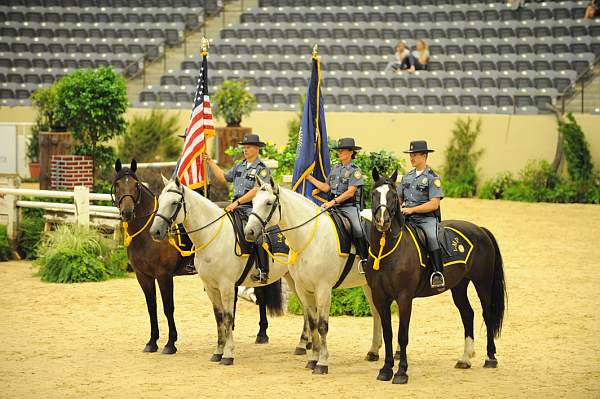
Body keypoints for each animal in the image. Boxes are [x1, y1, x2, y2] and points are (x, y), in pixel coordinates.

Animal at [113, 161, 288, 358]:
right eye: (117, 185)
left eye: (135, 185)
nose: (127, 212)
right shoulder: (143, 276)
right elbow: (152, 307)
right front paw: (152, 342)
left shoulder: (164, 275)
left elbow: (168, 307)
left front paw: (170, 343)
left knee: (261, 296)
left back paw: (261, 333)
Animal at [146, 176, 310, 366]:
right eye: (160, 201)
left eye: (174, 202)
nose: (155, 232)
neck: (212, 237)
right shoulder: (211, 287)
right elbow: (219, 318)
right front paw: (218, 352)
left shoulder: (226, 286)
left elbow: (228, 317)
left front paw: (228, 354)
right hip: (292, 279)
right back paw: (305, 345)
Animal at [241, 178, 382, 376]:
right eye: (253, 201)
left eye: (268, 203)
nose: (249, 232)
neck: (309, 237)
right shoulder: (303, 288)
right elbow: (313, 323)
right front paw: (313, 360)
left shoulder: (323, 289)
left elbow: (322, 325)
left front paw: (323, 363)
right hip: (368, 285)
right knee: (377, 313)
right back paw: (373, 352)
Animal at [366, 168, 506, 384]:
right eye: (374, 193)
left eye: (393, 195)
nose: (383, 221)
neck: (388, 251)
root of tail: (480, 230)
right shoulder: (380, 297)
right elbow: (388, 333)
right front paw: (386, 369)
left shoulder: (404, 298)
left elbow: (402, 335)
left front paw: (401, 372)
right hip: (459, 286)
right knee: (468, 314)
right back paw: (465, 359)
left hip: (482, 282)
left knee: (487, 313)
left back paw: (490, 358)